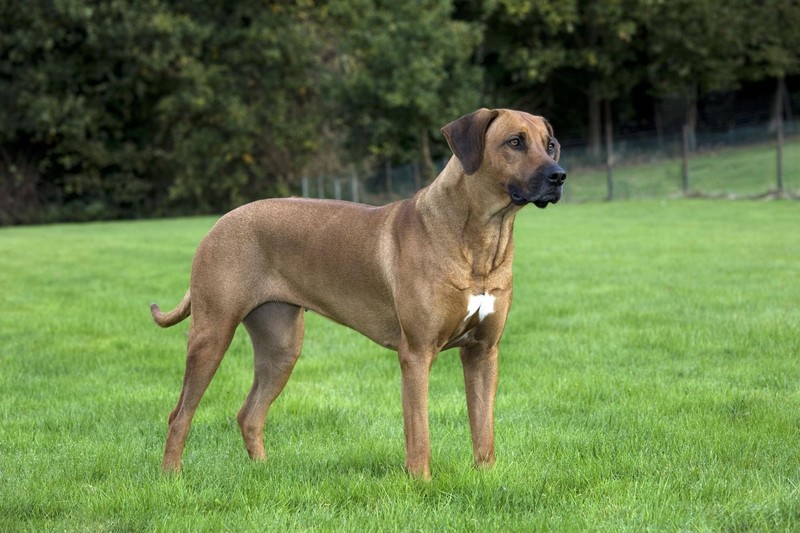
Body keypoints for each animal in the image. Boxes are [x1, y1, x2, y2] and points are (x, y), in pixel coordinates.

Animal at [150, 108, 564, 478]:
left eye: (550, 144)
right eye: (514, 142)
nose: (558, 176)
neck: (481, 239)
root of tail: (219, 222)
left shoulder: (483, 352)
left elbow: (483, 428)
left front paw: (486, 478)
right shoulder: (416, 354)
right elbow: (419, 432)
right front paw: (421, 483)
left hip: (281, 346)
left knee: (249, 414)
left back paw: (262, 471)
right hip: (212, 333)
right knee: (179, 414)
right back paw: (171, 478)